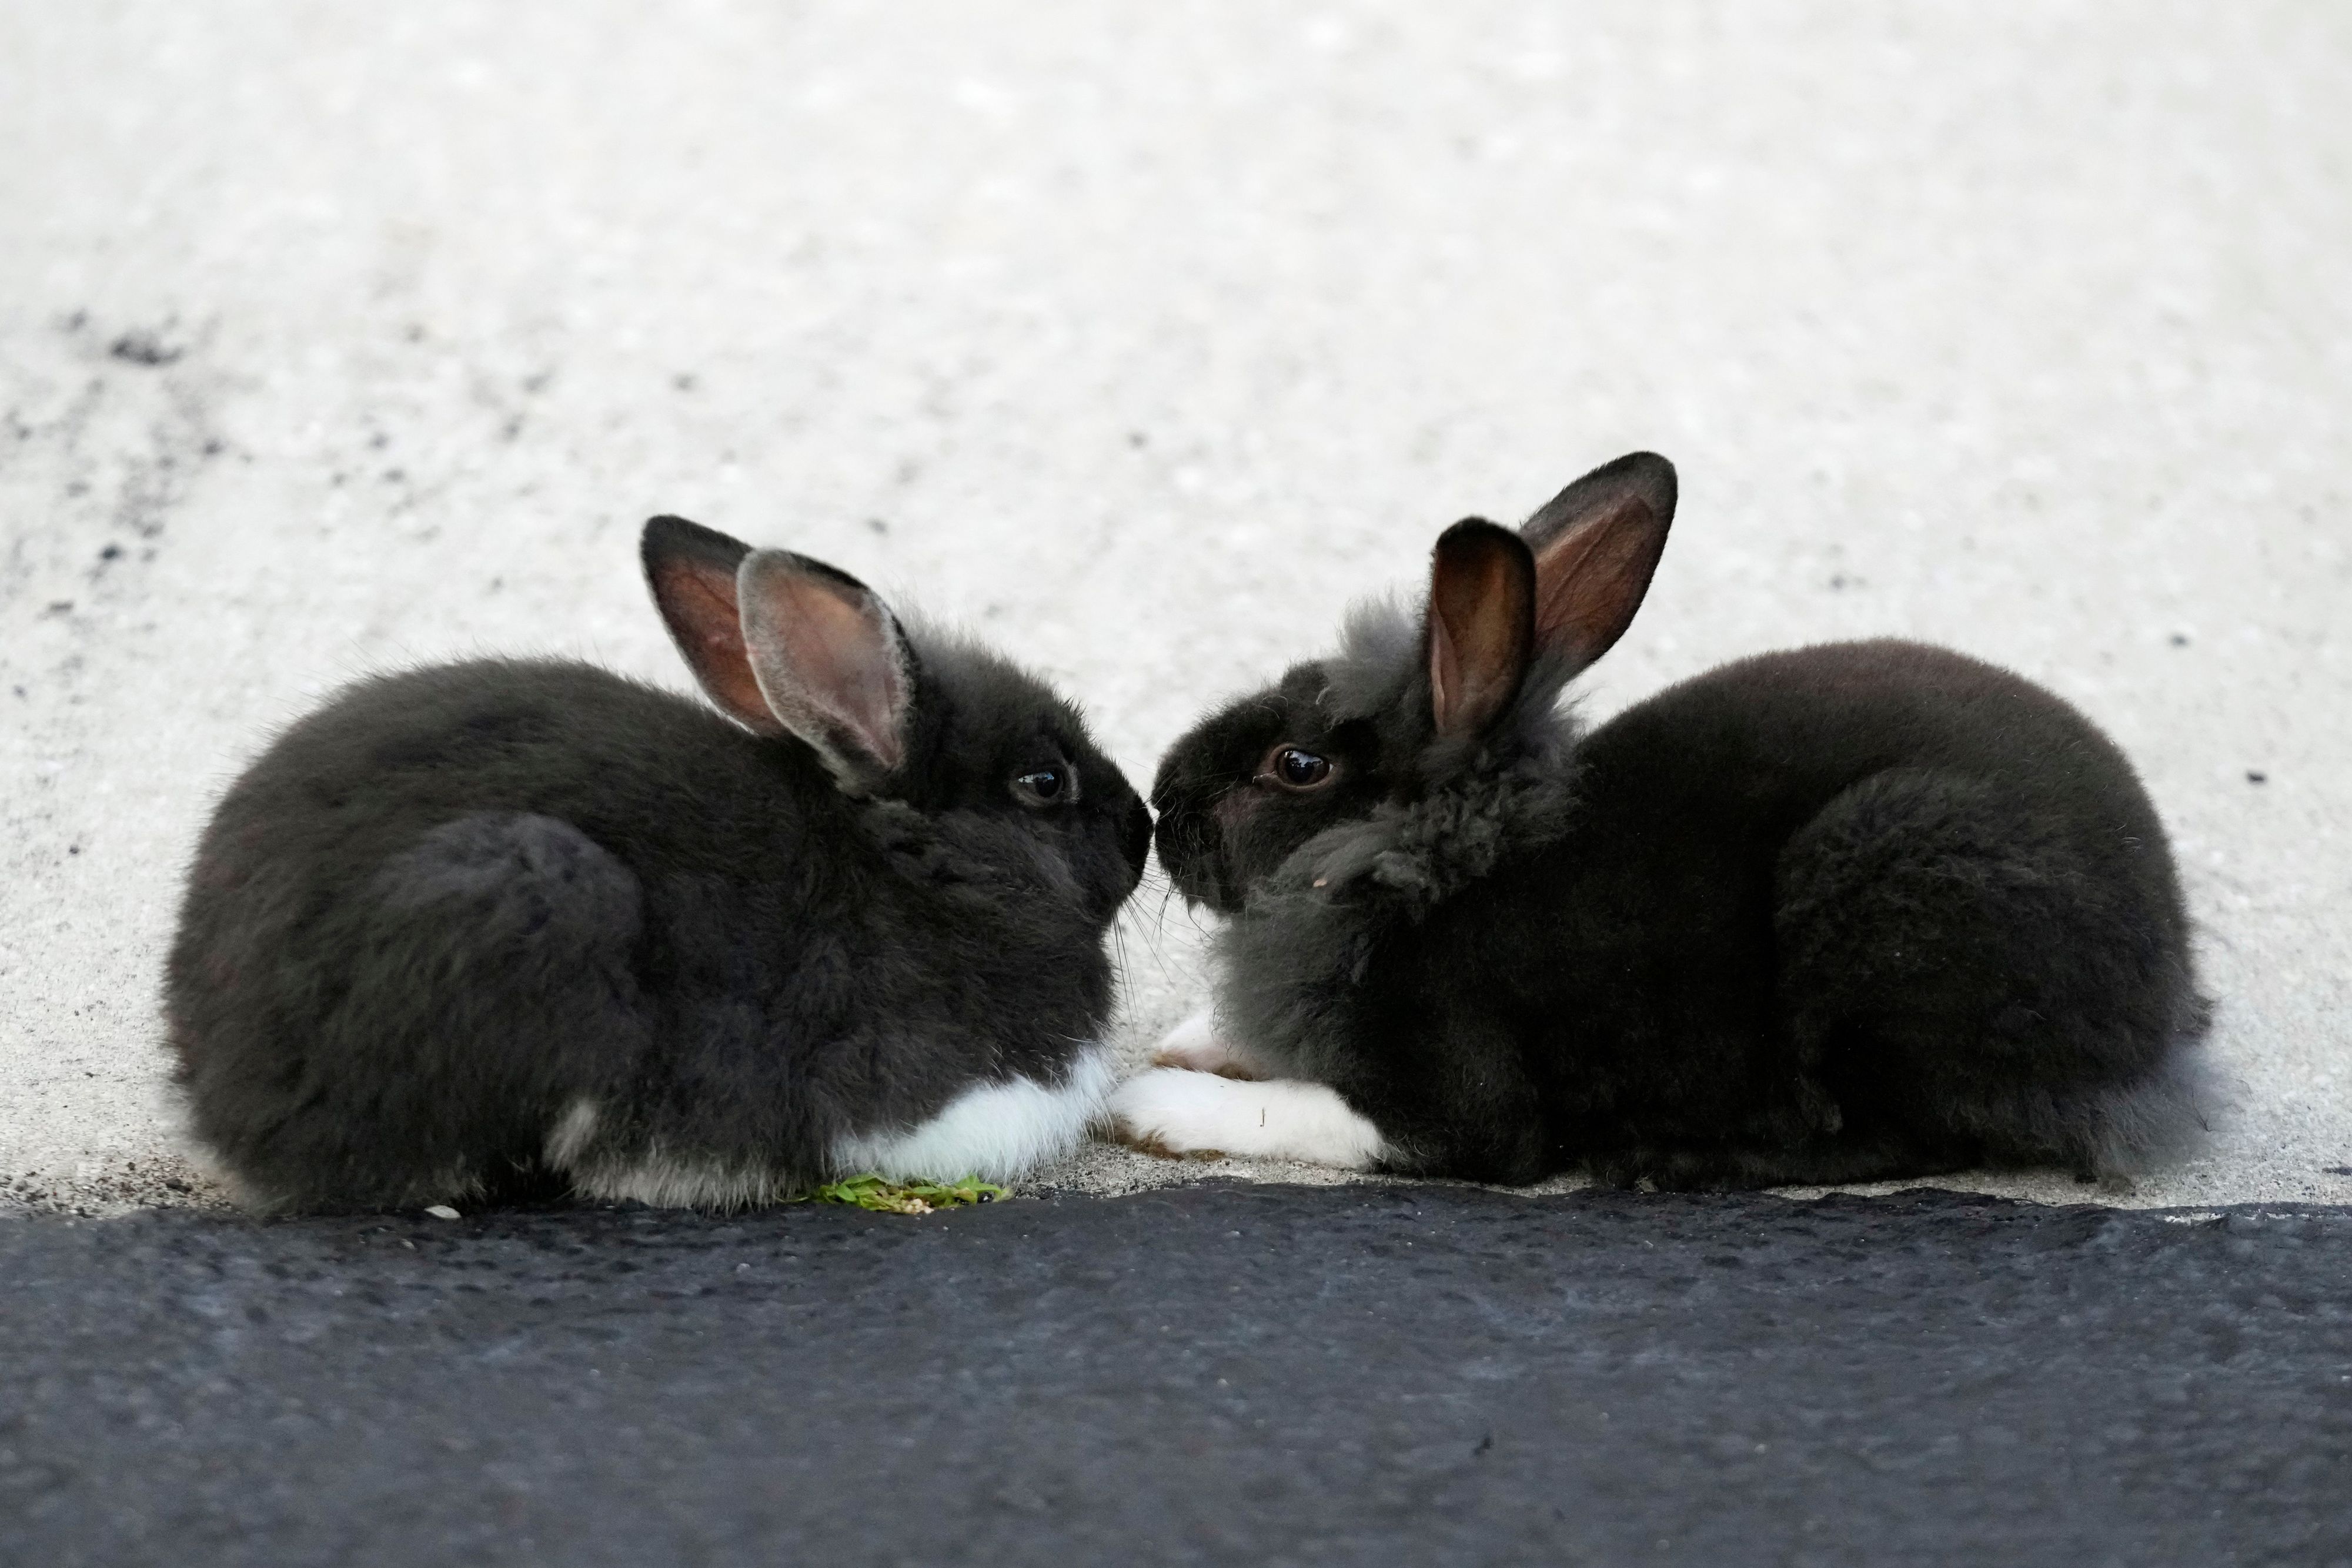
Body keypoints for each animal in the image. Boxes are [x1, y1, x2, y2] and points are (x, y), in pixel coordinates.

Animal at [1112, 452, 2210, 1189]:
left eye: (1297, 766)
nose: (1162, 797)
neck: (1433, 857)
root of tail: (2155, 1030)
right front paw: (1193, 1038)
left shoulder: (1459, 1108)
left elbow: (1319, 1115)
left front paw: (1148, 1105)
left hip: (1890, 912)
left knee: (1892, 1139)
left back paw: (1672, 1160)